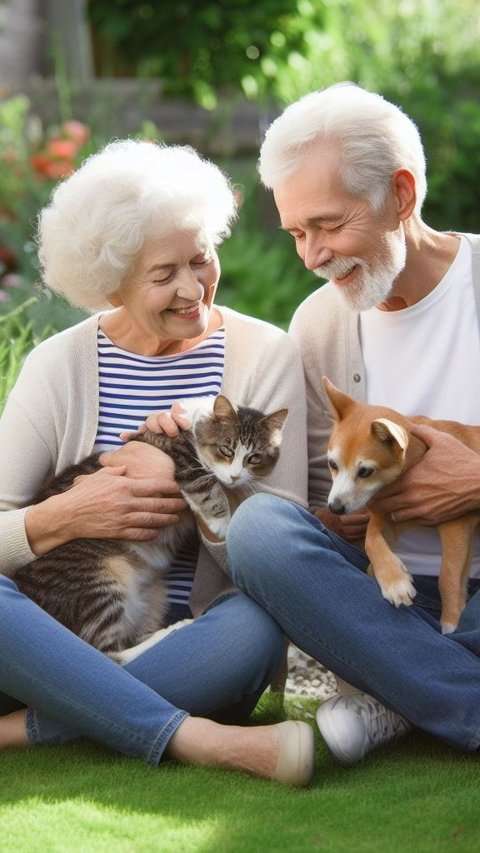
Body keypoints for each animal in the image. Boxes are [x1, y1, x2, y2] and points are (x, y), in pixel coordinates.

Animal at [13, 396, 286, 664]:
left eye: (254, 458)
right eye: (226, 450)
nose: (235, 477)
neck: (195, 425)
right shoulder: (183, 462)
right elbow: (208, 488)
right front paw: (223, 525)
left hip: (155, 594)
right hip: (99, 584)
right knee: (109, 655)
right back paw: (176, 628)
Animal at [322, 376, 480, 628]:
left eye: (365, 471)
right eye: (332, 464)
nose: (334, 508)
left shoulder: (457, 524)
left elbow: (448, 574)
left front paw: (451, 622)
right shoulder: (388, 516)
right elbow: (371, 541)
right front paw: (393, 580)